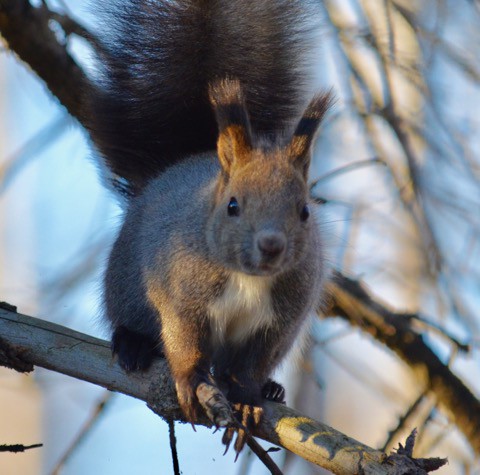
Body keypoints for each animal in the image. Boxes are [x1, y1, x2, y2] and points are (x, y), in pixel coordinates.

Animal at [87, 0, 330, 454]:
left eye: (305, 211)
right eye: (233, 205)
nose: (271, 245)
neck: (248, 278)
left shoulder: (282, 321)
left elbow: (251, 366)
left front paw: (249, 400)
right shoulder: (180, 295)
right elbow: (185, 343)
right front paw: (189, 383)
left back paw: (272, 390)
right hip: (126, 286)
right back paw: (132, 345)